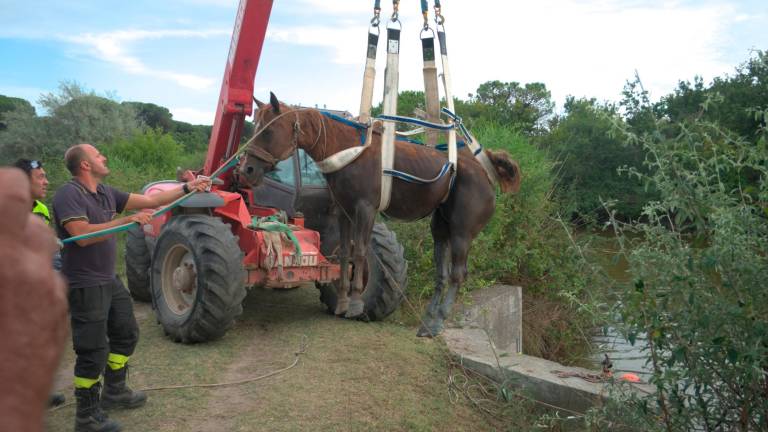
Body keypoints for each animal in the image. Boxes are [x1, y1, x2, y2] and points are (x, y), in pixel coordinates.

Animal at [237, 93, 520, 338]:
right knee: (441, 273)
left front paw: (355, 304)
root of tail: (485, 169)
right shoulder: (344, 212)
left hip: (462, 232)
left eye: (267, 131)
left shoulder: (365, 209)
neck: (350, 152)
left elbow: (361, 252)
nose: (246, 170)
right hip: (440, 228)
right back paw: (428, 320)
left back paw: (439, 320)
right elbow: (345, 254)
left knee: (458, 274)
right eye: (254, 129)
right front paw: (342, 301)